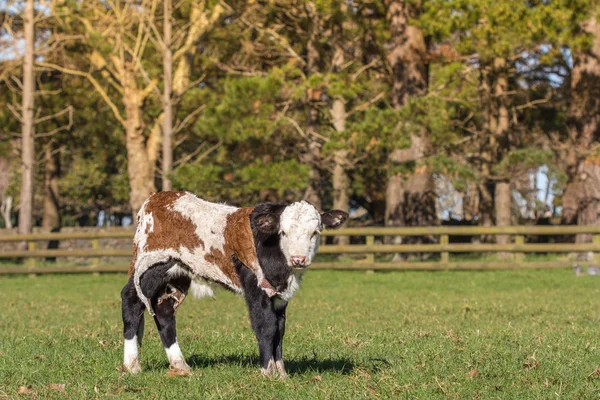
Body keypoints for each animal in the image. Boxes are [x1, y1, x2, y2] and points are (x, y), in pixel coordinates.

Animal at [120, 192, 346, 376]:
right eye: (283, 232)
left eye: (315, 232)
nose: (298, 259)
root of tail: (157, 199)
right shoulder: (256, 288)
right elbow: (266, 327)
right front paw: (268, 372)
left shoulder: (279, 297)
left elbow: (279, 330)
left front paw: (281, 373)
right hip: (150, 268)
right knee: (131, 301)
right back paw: (132, 365)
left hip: (177, 274)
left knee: (164, 311)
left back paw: (179, 364)